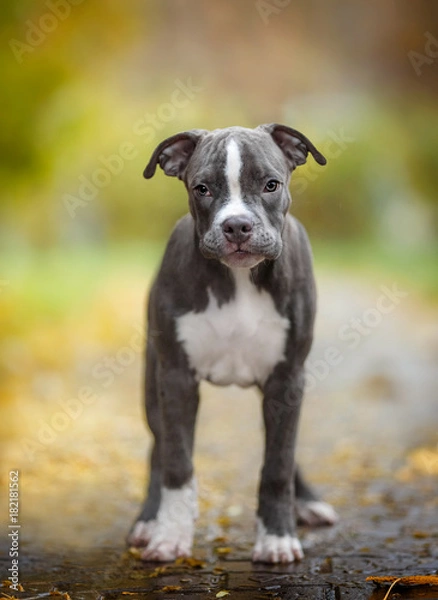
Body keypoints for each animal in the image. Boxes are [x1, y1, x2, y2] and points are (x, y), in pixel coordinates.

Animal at [127, 122, 338, 564]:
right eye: (202, 188)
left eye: (271, 184)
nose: (237, 226)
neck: (239, 279)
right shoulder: (176, 379)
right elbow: (176, 463)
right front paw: (169, 535)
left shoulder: (287, 378)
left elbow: (277, 464)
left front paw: (277, 537)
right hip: (153, 381)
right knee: (158, 448)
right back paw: (150, 518)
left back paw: (307, 502)